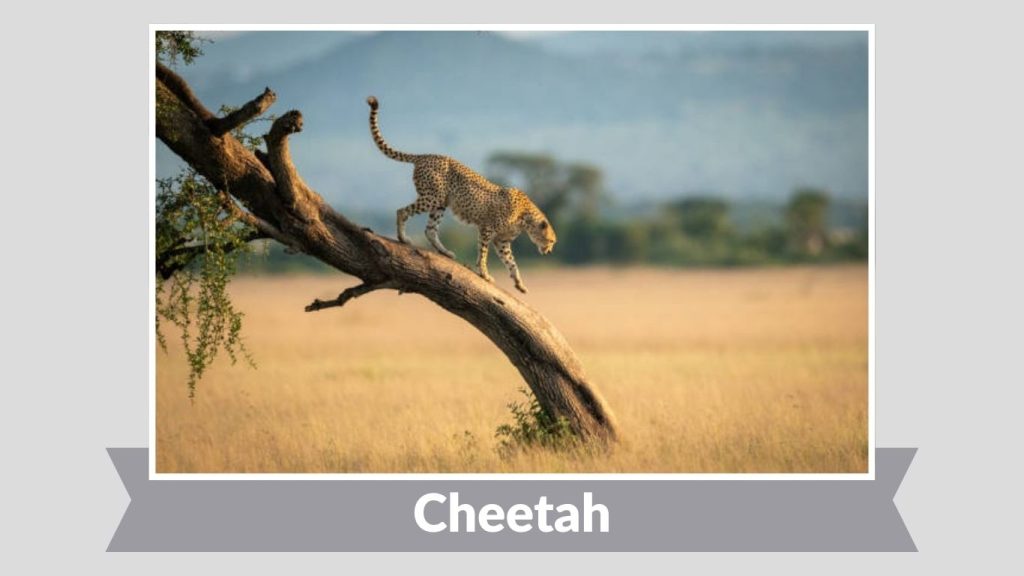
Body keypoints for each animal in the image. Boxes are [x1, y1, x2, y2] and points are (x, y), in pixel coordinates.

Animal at [367, 95, 556, 294]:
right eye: (551, 240)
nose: (549, 251)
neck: (525, 218)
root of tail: (426, 155)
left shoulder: (502, 241)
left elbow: (511, 262)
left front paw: (519, 283)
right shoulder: (487, 229)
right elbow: (483, 254)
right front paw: (484, 274)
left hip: (440, 203)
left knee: (430, 230)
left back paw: (445, 252)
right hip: (432, 198)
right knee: (402, 211)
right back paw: (403, 238)